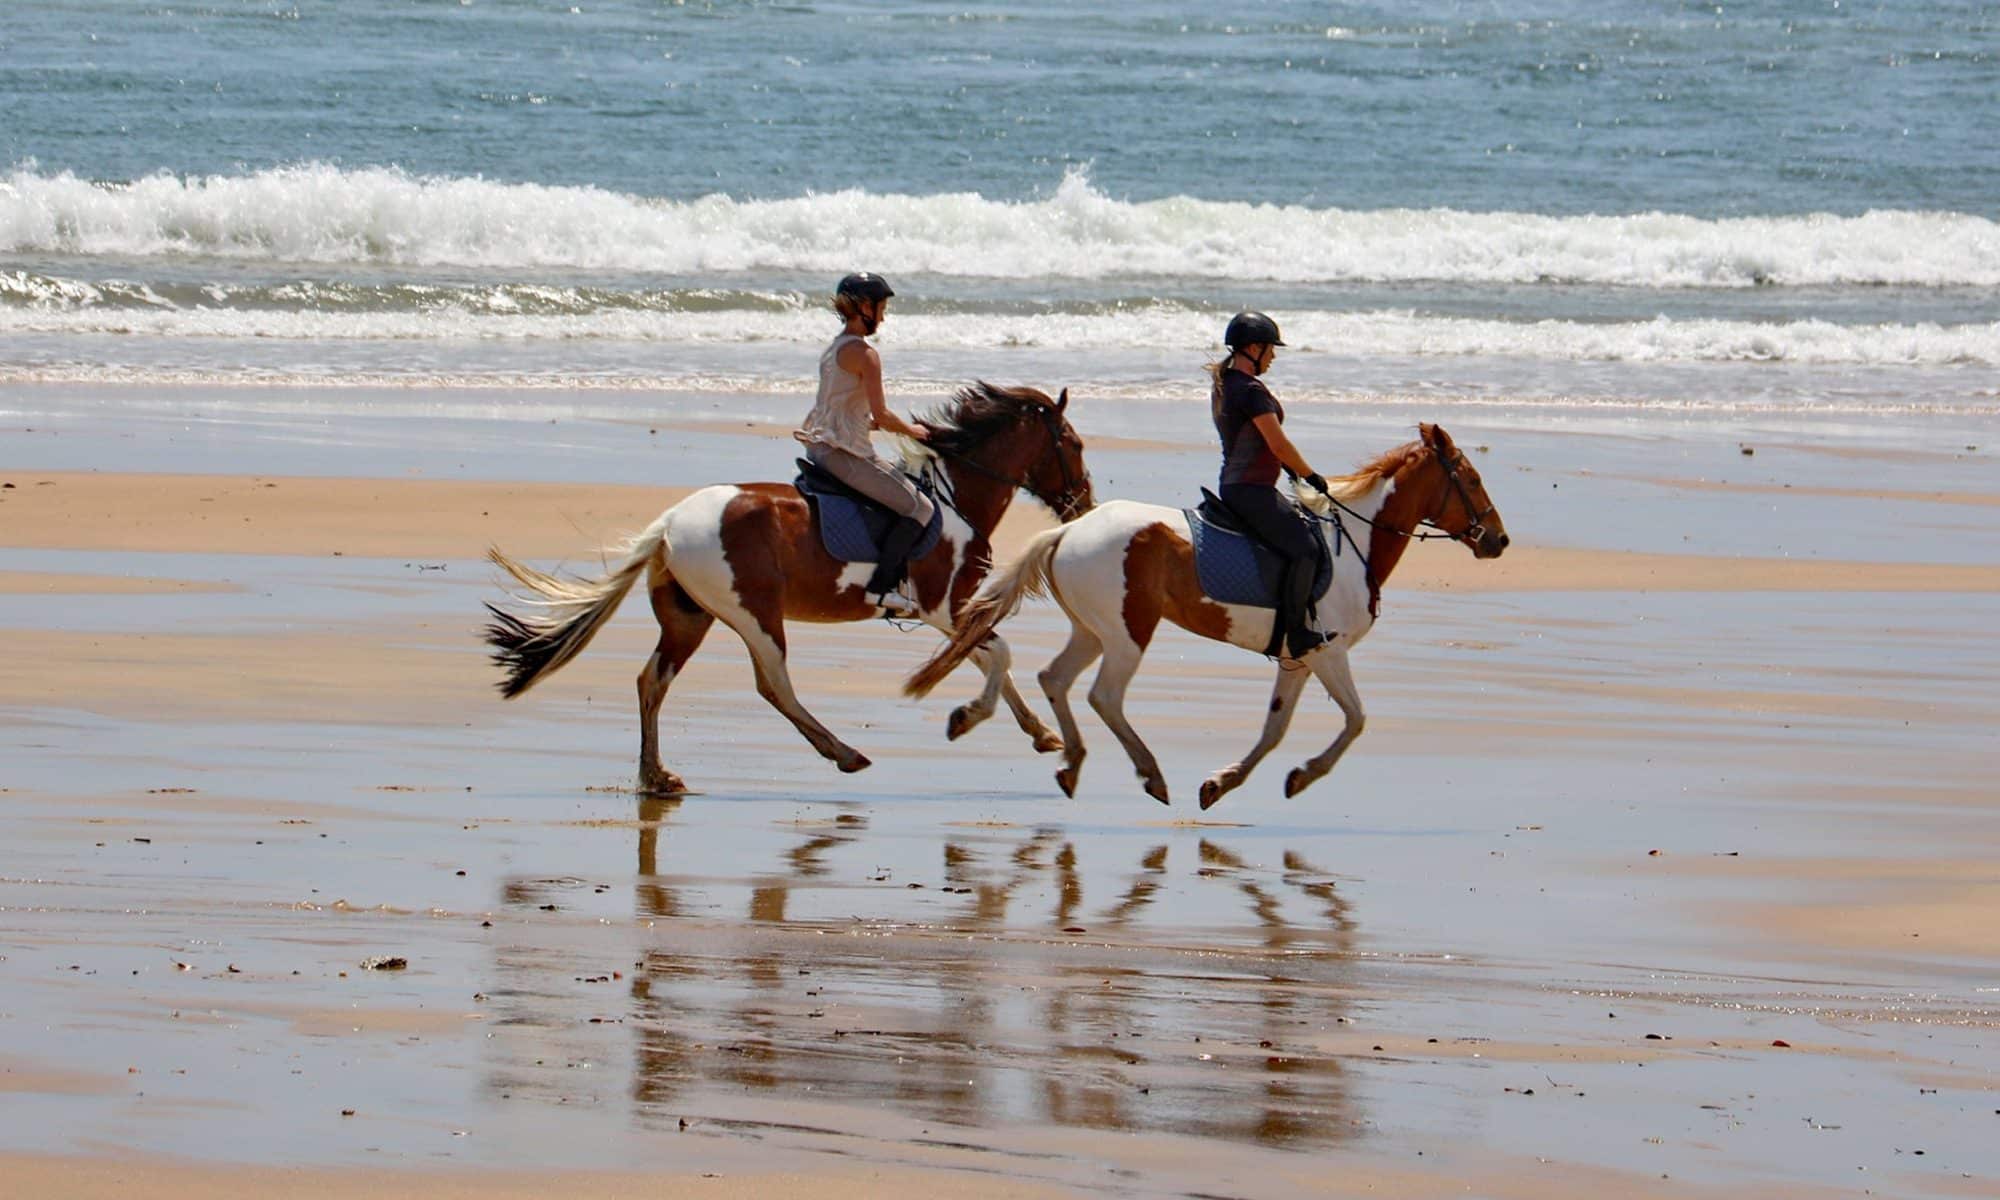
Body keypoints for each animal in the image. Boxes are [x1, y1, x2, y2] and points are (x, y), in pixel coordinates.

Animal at [492, 386, 1104, 796]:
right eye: (1073, 443)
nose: (1085, 505)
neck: (955, 498)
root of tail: (668, 524)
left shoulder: (955, 612)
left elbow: (990, 660)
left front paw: (1041, 734)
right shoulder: (942, 607)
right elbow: (997, 654)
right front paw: (968, 718)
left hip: (690, 618)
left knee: (652, 681)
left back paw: (656, 775)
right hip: (755, 615)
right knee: (774, 687)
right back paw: (844, 752)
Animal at [904, 422, 1504, 808]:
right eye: (1472, 481)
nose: (1498, 540)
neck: (1353, 541)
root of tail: (1069, 530)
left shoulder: (1298, 659)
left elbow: (1275, 728)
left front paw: (1224, 783)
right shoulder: (1328, 651)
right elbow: (1356, 720)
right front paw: (1304, 776)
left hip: (1093, 630)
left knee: (1055, 678)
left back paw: (1070, 760)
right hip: (1128, 633)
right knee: (1104, 696)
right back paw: (1148, 773)